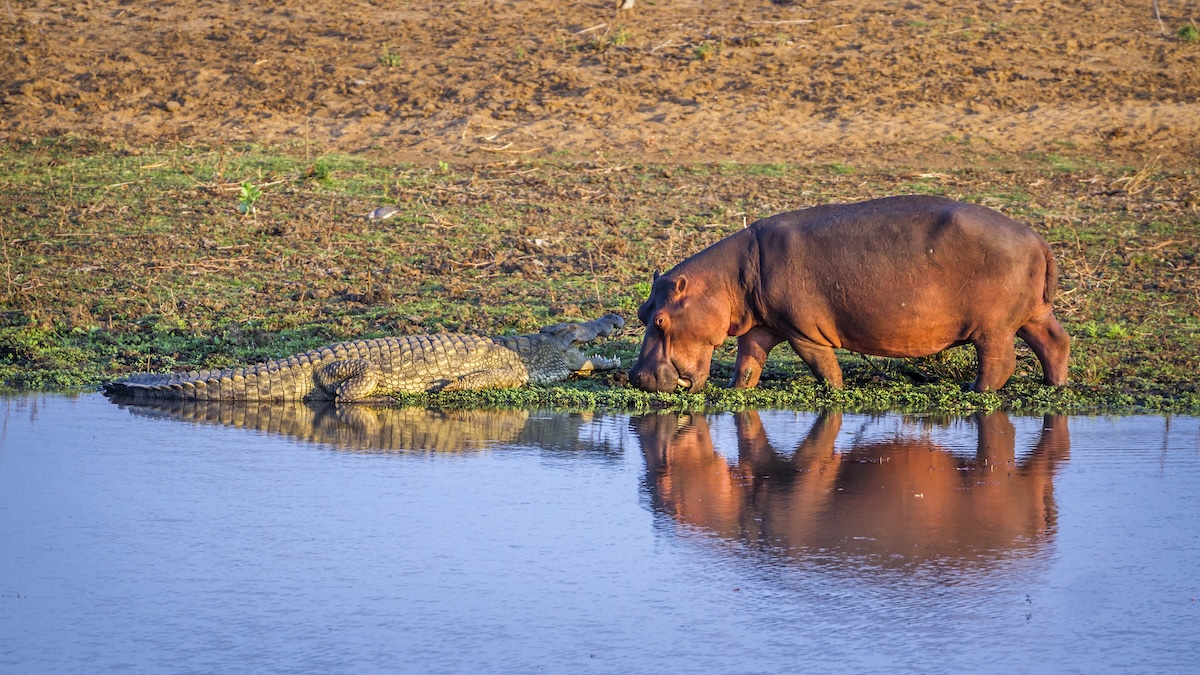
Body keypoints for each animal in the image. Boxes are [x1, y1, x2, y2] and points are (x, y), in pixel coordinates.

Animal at [629, 195, 1070, 393]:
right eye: (641, 311)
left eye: (660, 319)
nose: (637, 377)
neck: (727, 279)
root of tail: (1037, 239)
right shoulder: (762, 325)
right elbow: (748, 363)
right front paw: (736, 392)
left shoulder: (803, 331)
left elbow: (824, 366)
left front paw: (836, 393)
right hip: (1033, 314)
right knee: (1055, 342)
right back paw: (1055, 386)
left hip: (993, 327)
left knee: (1000, 361)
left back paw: (976, 391)